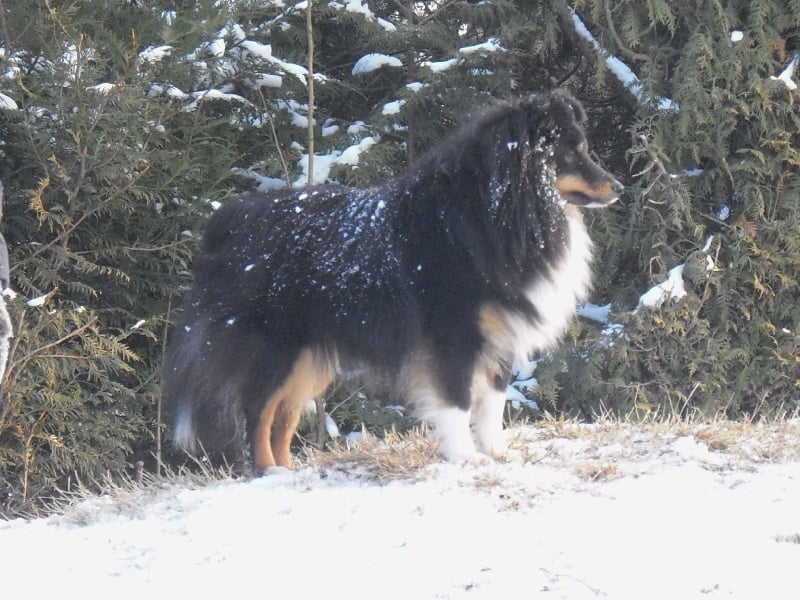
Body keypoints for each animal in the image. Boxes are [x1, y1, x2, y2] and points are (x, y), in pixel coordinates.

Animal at [162, 88, 622, 472]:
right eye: (575, 152)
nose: (619, 186)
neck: (491, 213)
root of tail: (224, 223)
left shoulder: (500, 334)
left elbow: (493, 402)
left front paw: (497, 452)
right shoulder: (452, 336)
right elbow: (457, 403)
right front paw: (465, 457)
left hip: (309, 357)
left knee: (283, 415)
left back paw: (289, 471)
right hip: (276, 348)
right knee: (257, 412)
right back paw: (268, 473)